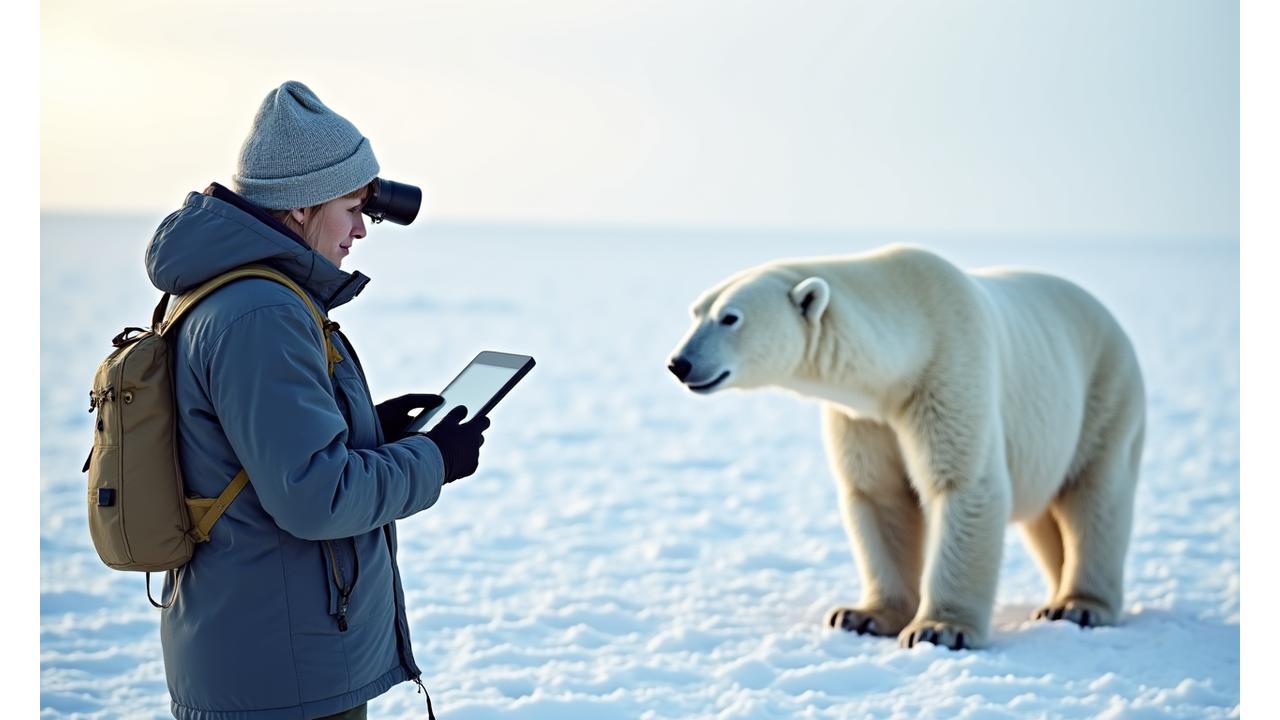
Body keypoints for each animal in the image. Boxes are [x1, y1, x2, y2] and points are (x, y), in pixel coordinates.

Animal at [667, 244, 1145, 650]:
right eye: (695, 312)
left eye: (730, 318)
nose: (679, 363)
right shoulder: (866, 418)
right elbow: (880, 496)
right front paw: (861, 616)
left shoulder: (950, 372)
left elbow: (963, 484)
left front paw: (940, 629)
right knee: (1046, 517)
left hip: (1104, 392)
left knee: (1095, 496)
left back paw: (1078, 605)